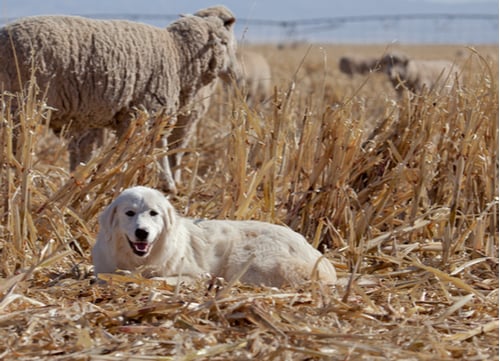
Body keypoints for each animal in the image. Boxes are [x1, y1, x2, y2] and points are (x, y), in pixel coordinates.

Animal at [0, 6, 239, 191]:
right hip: (18, 108)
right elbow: (154, 148)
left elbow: (86, 155)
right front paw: (164, 185)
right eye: (227, 43)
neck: (178, 53)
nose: (235, 75)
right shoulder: (148, 111)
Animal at [92, 186, 338, 286]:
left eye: (154, 213)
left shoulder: (195, 273)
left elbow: (157, 279)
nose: (142, 232)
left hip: (249, 262)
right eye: (130, 213)